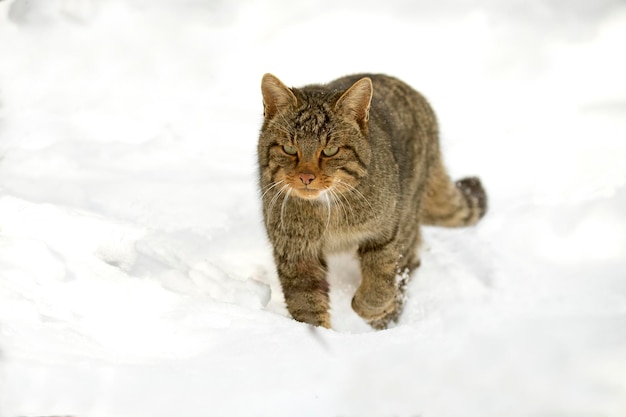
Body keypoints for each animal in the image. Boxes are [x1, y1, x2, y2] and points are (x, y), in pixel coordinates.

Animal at [256, 74, 486, 328]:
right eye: (289, 148)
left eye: (330, 151)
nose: (306, 177)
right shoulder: (295, 251)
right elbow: (307, 304)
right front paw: (316, 332)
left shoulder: (388, 232)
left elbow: (381, 277)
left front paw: (369, 307)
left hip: (408, 212)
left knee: (408, 263)